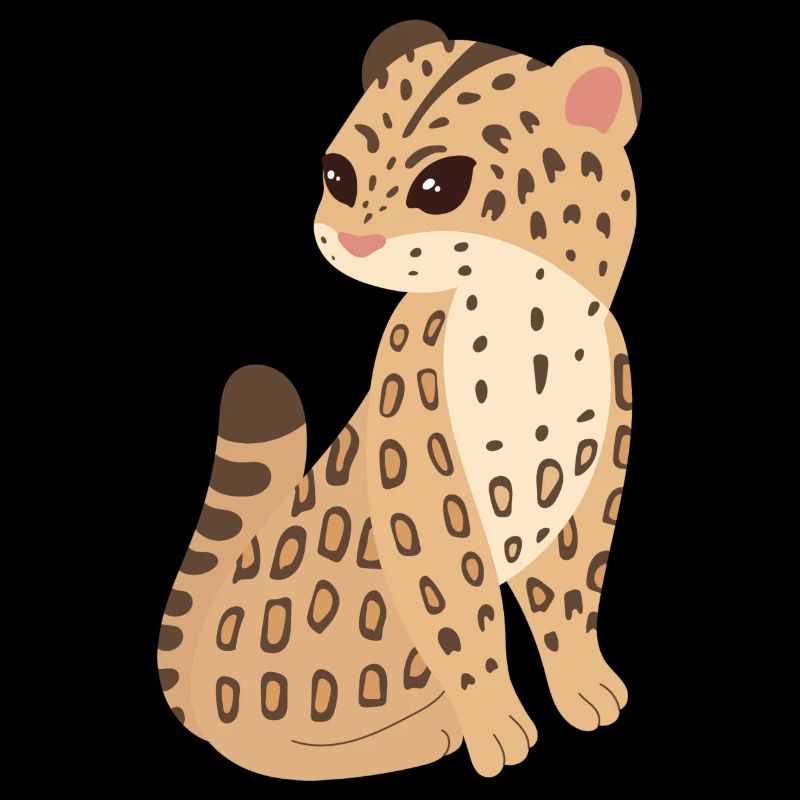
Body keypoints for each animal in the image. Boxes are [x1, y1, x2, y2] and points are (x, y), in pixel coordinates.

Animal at [157, 19, 641, 779]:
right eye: (337, 175)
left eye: (440, 185)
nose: (356, 238)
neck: (524, 316)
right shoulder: (432, 509)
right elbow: (466, 627)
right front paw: (496, 726)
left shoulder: (581, 494)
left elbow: (568, 599)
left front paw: (583, 688)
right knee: (264, 745)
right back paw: (427, 733)